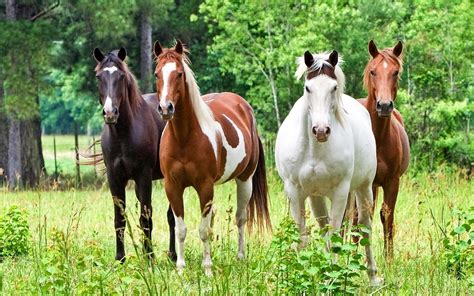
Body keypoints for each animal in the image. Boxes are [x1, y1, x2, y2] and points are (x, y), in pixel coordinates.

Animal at [92, 48, 176, 262]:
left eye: (121, 77)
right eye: (99, 77)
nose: (110, 112)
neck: (123, 134)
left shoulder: (143, 176)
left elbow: (146, 218)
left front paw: (150, 257)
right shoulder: (115, 178)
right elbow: (119, 219)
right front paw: (120, 258)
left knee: (172, 216)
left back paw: (172, 255)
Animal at [153, 40, 270, 274]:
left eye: (179, 74)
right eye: (157, 74)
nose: (165, 108)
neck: (184, 138)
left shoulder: (205, 186)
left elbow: (203, 230)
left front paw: (207, 268)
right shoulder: (173, 187)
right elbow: (181, 229)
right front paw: (180, 268)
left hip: (245, 180)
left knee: (240, 218)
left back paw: (240, 257)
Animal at [276, 50, 384, 284]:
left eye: (333, 87)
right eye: (308, 87)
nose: (321, 130)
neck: (314, 150)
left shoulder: (341, 192)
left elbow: (335, 236)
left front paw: (330, 278)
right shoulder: (295, 192)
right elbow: (304, 237)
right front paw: (304, 277)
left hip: (364, 188)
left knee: (365, 228)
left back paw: (372, 277)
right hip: (316, 196)